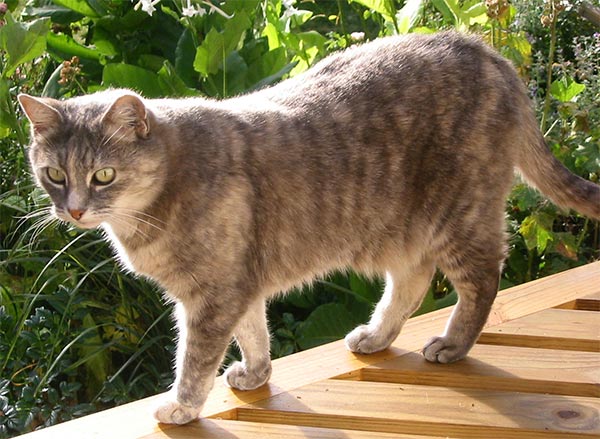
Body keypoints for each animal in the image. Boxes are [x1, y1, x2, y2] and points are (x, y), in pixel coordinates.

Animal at [17, 28, 600, 426]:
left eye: (103, 175)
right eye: (53, 174)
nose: (73, 210)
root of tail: (484, 51)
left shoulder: (212, 297)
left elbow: (195, 359)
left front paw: (181, 406)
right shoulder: (238, 286)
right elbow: (254, 334)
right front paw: (256, 375)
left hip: (460, 215)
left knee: (481, 280)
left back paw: (453, 344)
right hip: (403, 230)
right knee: (412, 283)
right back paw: (376, 336)